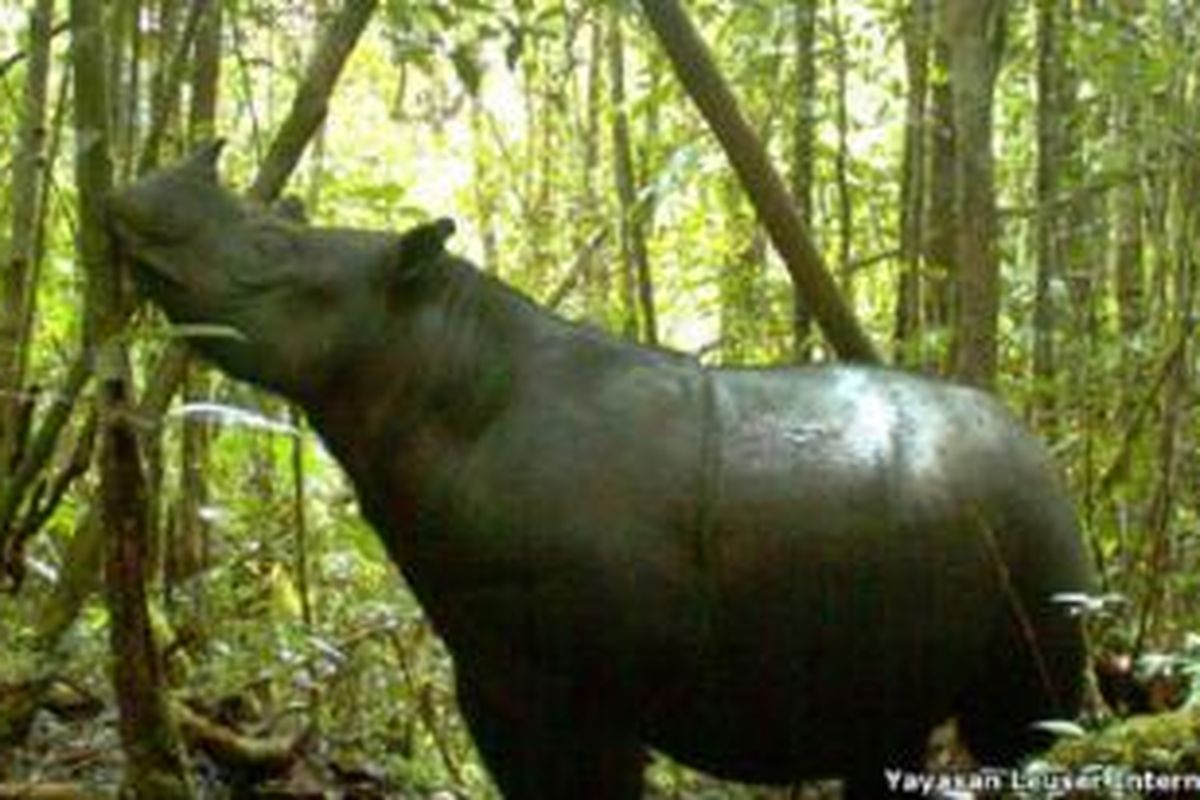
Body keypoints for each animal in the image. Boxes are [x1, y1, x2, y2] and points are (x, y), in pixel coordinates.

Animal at [108, 140, 1094, 796]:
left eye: (270, 254)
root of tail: (1041, 444)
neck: (422, 358)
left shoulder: (589, 690)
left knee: (1017, 731)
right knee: (886, 738)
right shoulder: (495, 666)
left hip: (1039, 534)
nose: (131, 199)